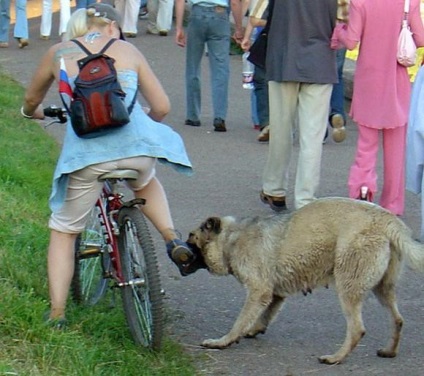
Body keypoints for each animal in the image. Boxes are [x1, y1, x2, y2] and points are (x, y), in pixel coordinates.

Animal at [186, 198, 424, 366]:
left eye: (191, 237)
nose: (180, 249)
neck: (232, 237)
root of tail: (387, 219)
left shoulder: (258, 290)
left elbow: (239, 321)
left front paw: (223, 341)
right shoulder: (274, 294)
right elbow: (263, 315)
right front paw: (253, 329)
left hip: (348, 287)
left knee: (357, 329)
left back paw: (336, 357)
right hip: (383, 289)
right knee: (398, 320)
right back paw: (389, 350)